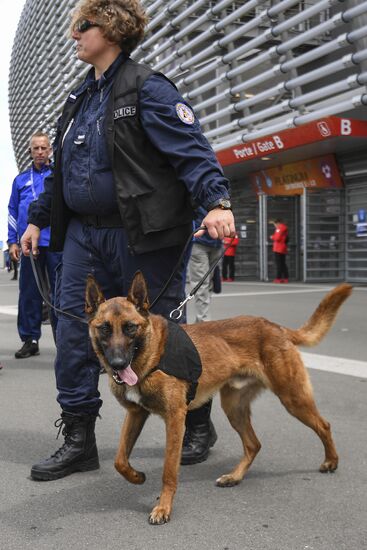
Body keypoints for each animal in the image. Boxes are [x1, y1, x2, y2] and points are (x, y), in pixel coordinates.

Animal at [85, 274, 354, 528]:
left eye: (130, 327)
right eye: (104, 328)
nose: (118, 364)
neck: (152, 356)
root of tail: (276, 326)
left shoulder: (175, 419)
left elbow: (169, 471)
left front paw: (163, 508)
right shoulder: (136, 414)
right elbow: (120, 460)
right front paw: (136, 477)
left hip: (292, 398)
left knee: (324, 425)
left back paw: (331, 461)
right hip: (234, 408)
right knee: (253, 444)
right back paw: (234, 477)